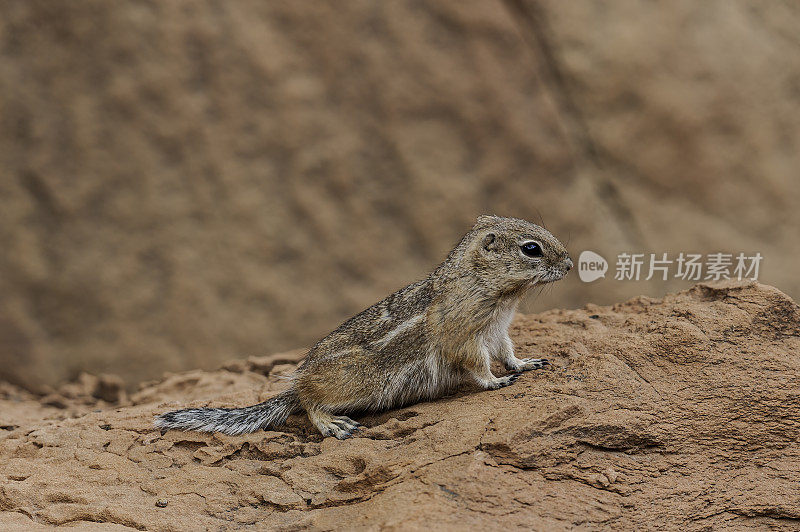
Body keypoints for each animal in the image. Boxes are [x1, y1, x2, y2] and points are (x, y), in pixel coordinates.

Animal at [155, 214, 568, 438]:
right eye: (531, 248)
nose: (568, 263)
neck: (493, 292)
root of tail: (302, 376)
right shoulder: (465, 339)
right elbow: (478, 366)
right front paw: (497, 381)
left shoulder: (498, 331)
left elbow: (508, 352)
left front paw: (526, 364)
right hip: (356, 383)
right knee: (307, 400)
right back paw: (332, 424)